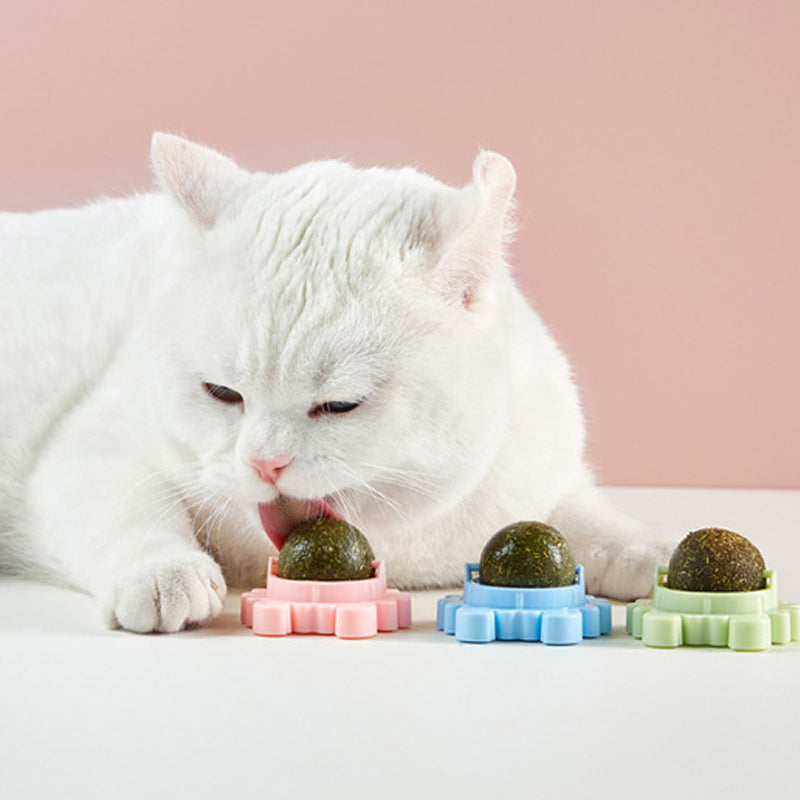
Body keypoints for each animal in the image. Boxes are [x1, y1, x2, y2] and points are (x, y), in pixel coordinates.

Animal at [0, 133, 672, 632]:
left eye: (339, 405)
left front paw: (652, 551)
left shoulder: (540, 471)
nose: (265, 462)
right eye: (223, 394)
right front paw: (163, 572)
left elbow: (585, 516)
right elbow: (132, 509)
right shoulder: (90, 446)